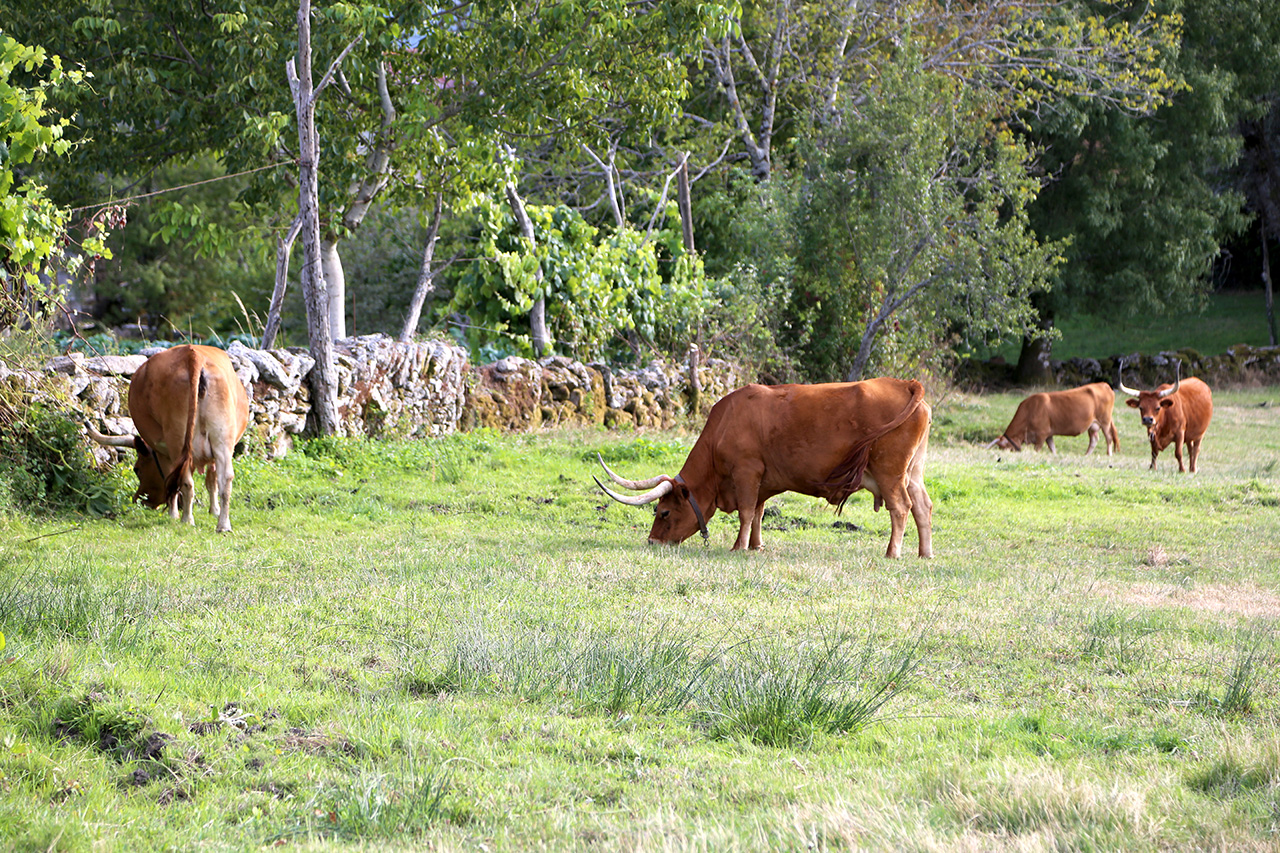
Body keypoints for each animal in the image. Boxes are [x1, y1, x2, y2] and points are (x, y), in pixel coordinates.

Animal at [87, 343, 249, 527]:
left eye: (137, 469)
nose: (138, 500)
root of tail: (193, 355)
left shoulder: (163, 449)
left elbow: (171, 479)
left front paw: (174, 514)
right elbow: (212, 480)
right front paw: (214, 511)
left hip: (177, 441)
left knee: (186, 481)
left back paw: (187, 519)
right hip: (222, 440)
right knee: (225, 479)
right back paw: (223, 525)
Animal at [593, 379, 936, 558]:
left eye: (663, 513)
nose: (653, 542)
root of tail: (905, 384)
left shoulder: (746, 473)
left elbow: (746, 513)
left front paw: (738, 546)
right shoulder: (761, 482)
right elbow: (757, 513)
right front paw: (756, 545)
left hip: (890, 473)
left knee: (901, 508)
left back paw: (892, 552)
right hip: (913, 472)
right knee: (922, 506)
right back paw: (925, 553)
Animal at [988, 381, 1121, 455]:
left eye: (1004, 447)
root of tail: (1103, 384)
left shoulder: (1041, 435)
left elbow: (1038, 449)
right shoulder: (1049, 435)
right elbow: (1053, 449)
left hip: (1105, 421)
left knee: (1109, 438)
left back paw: (1108, 455)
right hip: (1093, 425)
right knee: (1094, 440)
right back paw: (1086, 455)